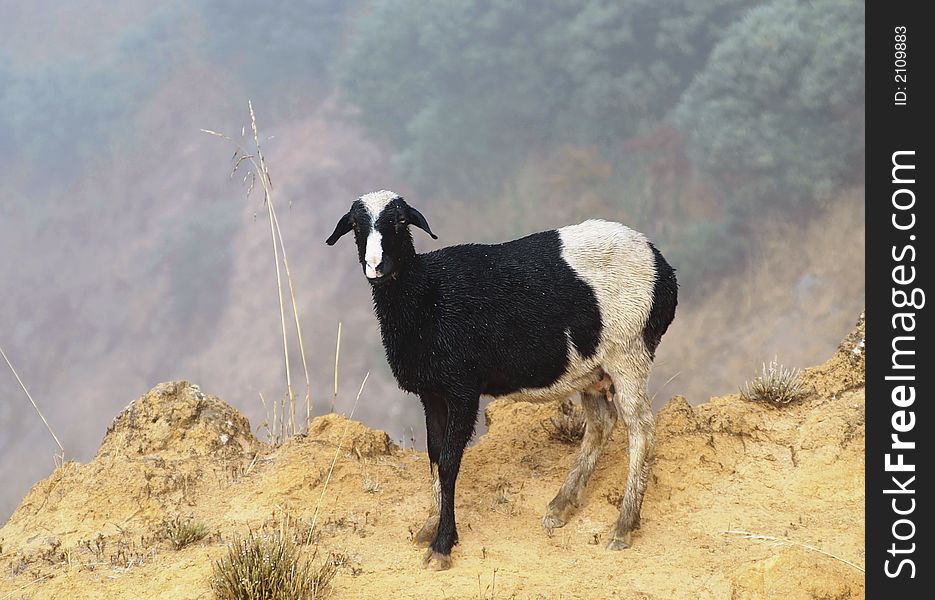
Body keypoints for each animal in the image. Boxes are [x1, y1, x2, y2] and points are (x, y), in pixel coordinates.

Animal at [326, 190, 676, 568]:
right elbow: (434, 457)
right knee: (601, 423)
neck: (427, 294)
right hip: (592, 368)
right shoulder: (432, 393)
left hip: (628, 352)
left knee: (641, 428)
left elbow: (449, 463)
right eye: (356, 226)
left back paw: (624, 525)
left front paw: (443, 544)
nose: (375, 266)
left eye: (401, 221)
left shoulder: (462, 389)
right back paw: (561, 505)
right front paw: (432, 525)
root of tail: (662, 266)